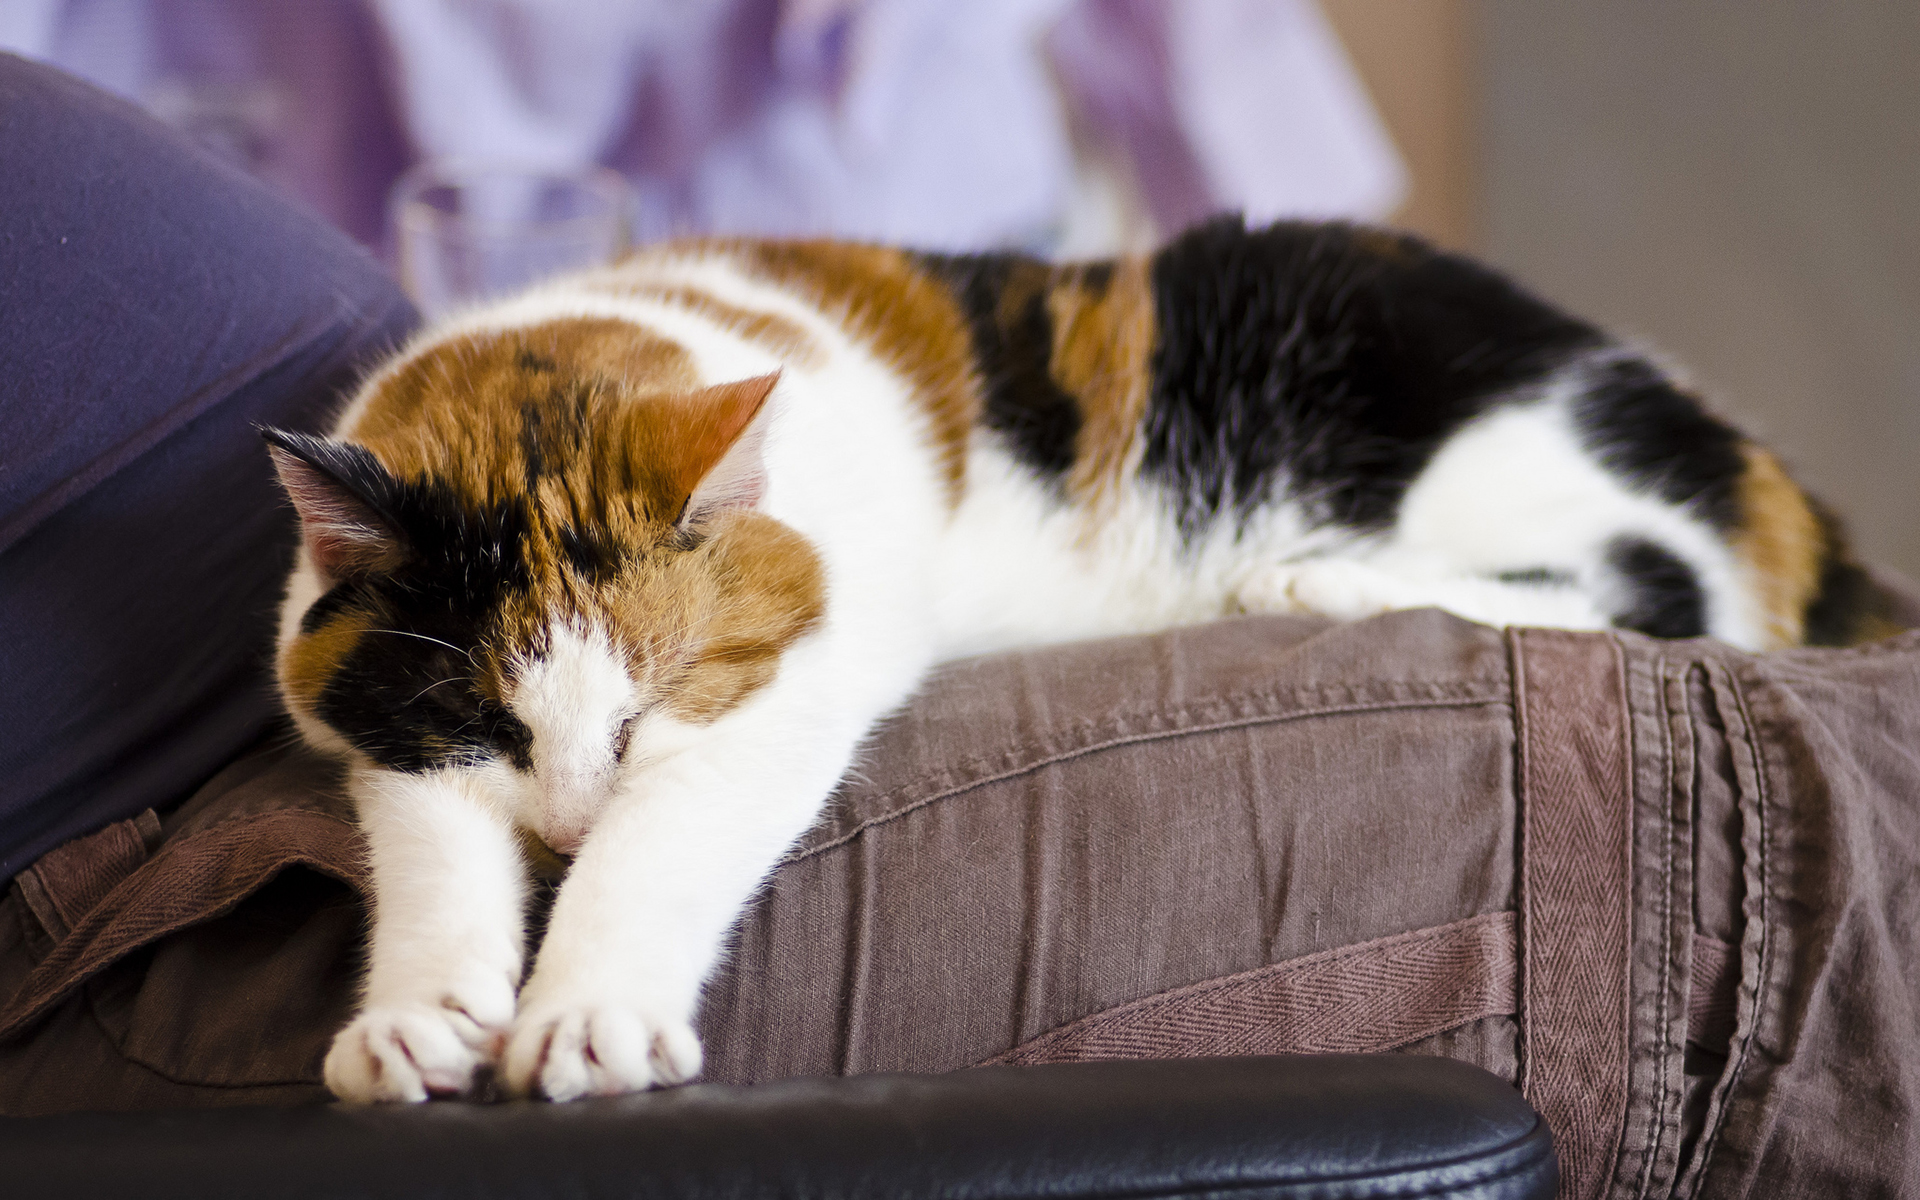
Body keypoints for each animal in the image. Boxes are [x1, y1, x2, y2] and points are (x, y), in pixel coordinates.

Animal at [270, 217, 1873, 1105]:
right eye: (485, 713)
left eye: (655, 704)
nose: (566, 826)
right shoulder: (387, 725)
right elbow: (431, 854)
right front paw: (418, 1020)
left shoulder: (792, 684)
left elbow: (669, 840)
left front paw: (586, 1014)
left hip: (1488, 433)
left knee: (1672, 582)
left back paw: (1310, 573)